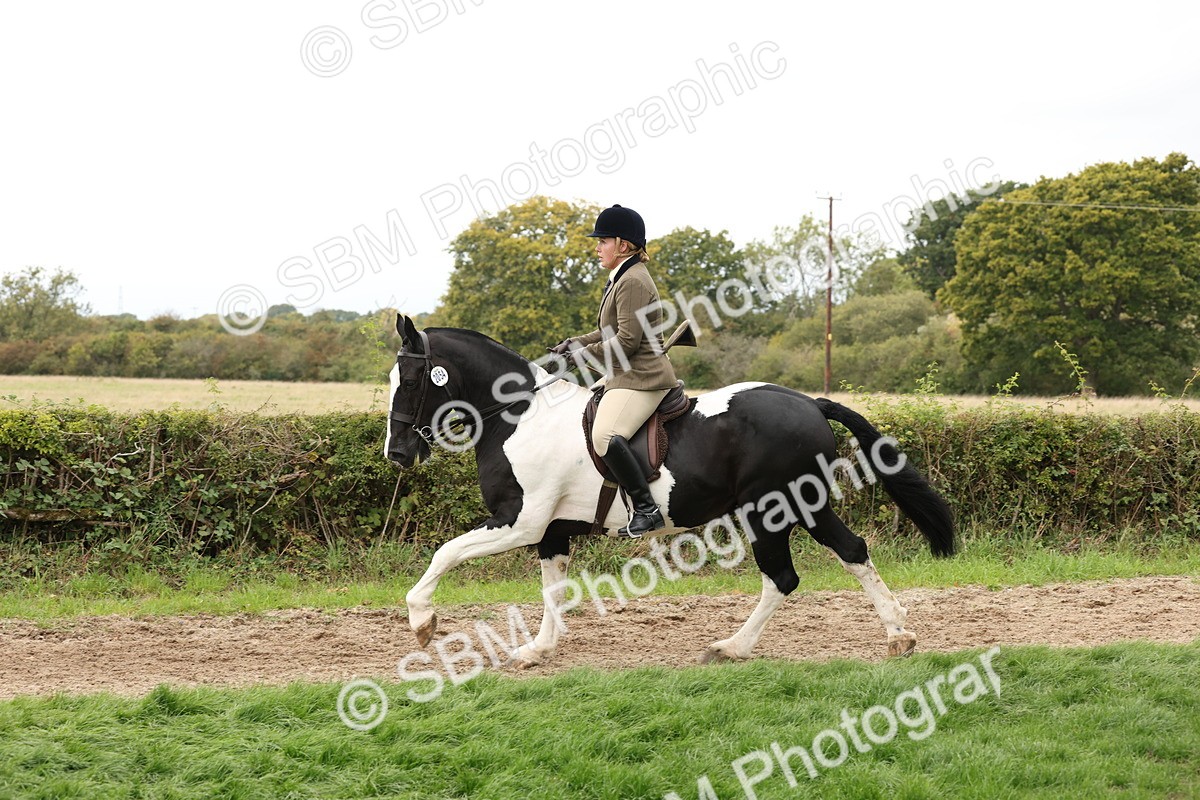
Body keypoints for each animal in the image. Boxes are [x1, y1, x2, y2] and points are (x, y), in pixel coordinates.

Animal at [385, 315, 955, 666]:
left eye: (410, 381)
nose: (397, 454)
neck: (519, 415)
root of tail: (810, 402)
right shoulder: (550, 529)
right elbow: (552, 588)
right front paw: (539, 651)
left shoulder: (518, 520)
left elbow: (445, 553)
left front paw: (422, 621)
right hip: (804, 505)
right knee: (852, 551)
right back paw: (899, 635)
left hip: (769, 508)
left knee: (783, 576)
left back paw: (730, 648)